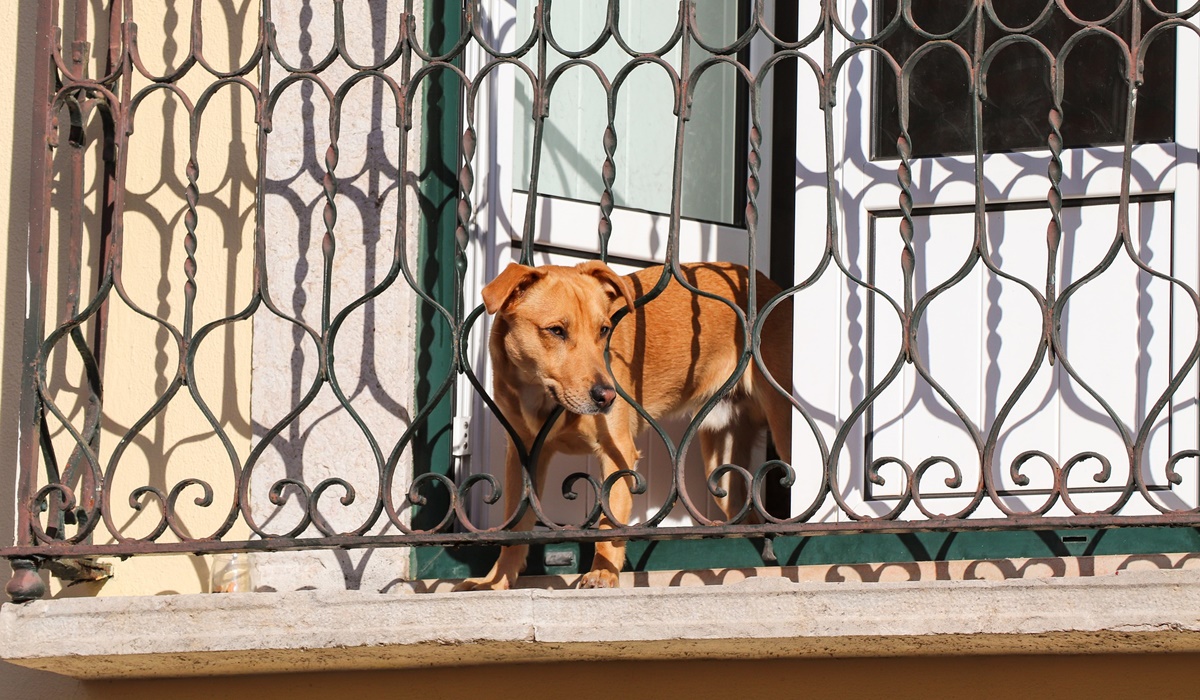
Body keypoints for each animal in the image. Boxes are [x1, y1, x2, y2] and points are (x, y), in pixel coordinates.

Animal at [453, 260, 792, 588]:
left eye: (604, 330)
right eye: (556, 330)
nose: (607, 396)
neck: (541, 396)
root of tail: (768, 284)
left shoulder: (618, 452)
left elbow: (609, 521)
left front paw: (603, 573)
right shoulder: (523, 455)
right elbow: (514, 527)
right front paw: (496, 582)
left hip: (783, 428)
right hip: (720, 460)